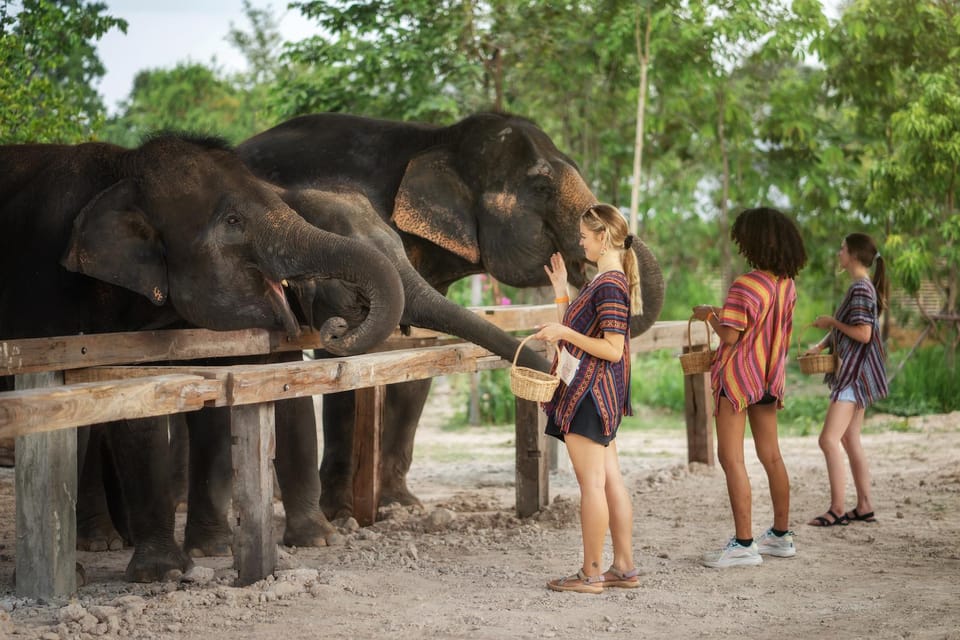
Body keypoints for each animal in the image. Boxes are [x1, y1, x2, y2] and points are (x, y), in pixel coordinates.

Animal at [0, 134, 404, 580]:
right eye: (233, 221)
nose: (336, 326)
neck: (122, 170)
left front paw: (186, 563)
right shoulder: (41, 293)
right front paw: (153, 573)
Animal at [235, 111, 664, 520]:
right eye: (542, 189)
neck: (437, 138)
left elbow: (417, 363)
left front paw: (404, 505)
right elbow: (345, 364)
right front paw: (340, 515)